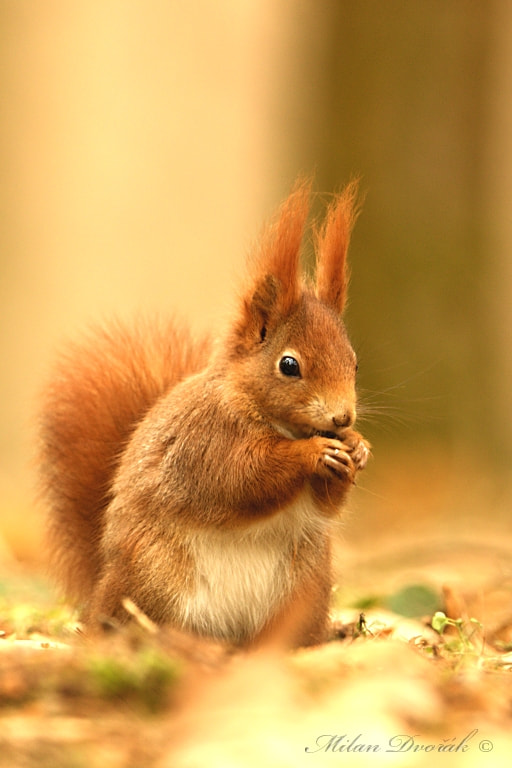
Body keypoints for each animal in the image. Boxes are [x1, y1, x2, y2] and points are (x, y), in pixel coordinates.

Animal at [38, 180, 370, 648]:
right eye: (289, 365)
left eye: (354, 363)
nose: (343, 419)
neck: (279, 423)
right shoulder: (205, 442)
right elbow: (241, 478)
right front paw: (312, 454)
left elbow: (325, 504)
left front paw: (357, 449)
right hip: (156, 577)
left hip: (305, 584)